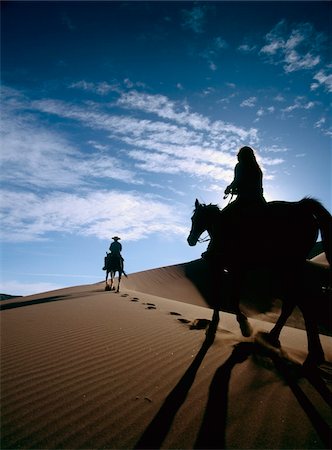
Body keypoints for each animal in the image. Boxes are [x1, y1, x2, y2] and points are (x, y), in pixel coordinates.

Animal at [188, 198, 330, 366]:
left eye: (196, 219)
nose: (190, 240)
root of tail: (302, 206)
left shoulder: (235, 269)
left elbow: (232, 299)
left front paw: (245, 327)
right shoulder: (223, 268)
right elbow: (218, 296)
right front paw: (213, 326)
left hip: (289, 266)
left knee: (300, 301)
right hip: (287, 269)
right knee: (296, 302)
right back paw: (280, 340)